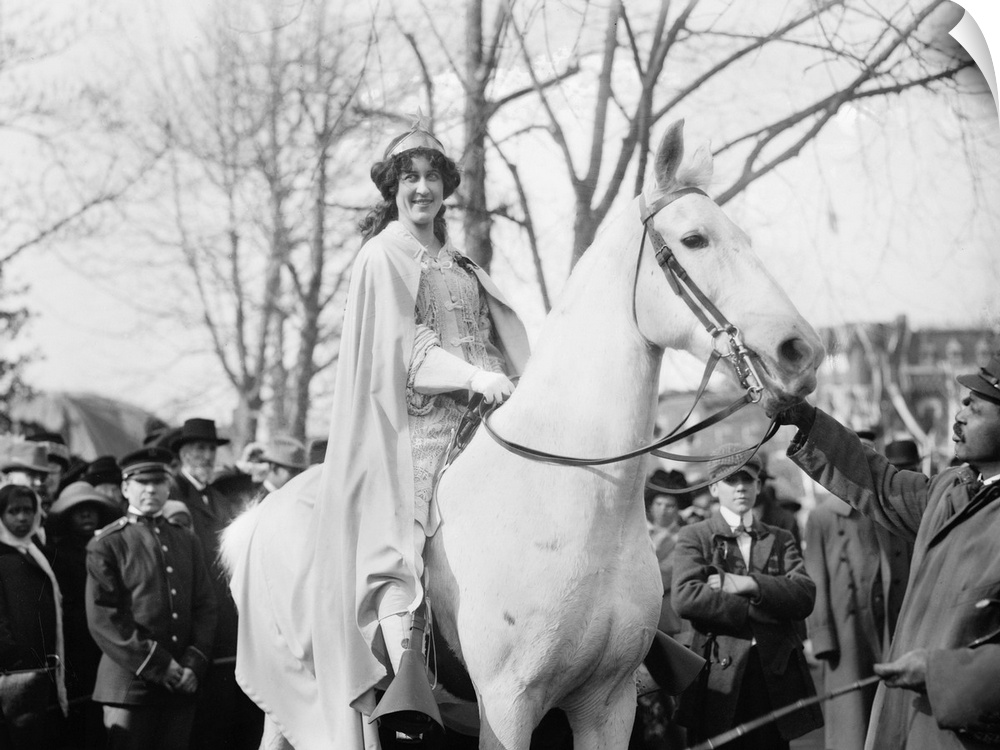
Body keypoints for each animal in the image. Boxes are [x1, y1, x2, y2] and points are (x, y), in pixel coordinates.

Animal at [223, 123, 824, 750]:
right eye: (694, 239)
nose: (800, 350)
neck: (577, 499)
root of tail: (261, 515)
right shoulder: (508, 706)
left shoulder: (608, 705)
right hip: (306, 710)